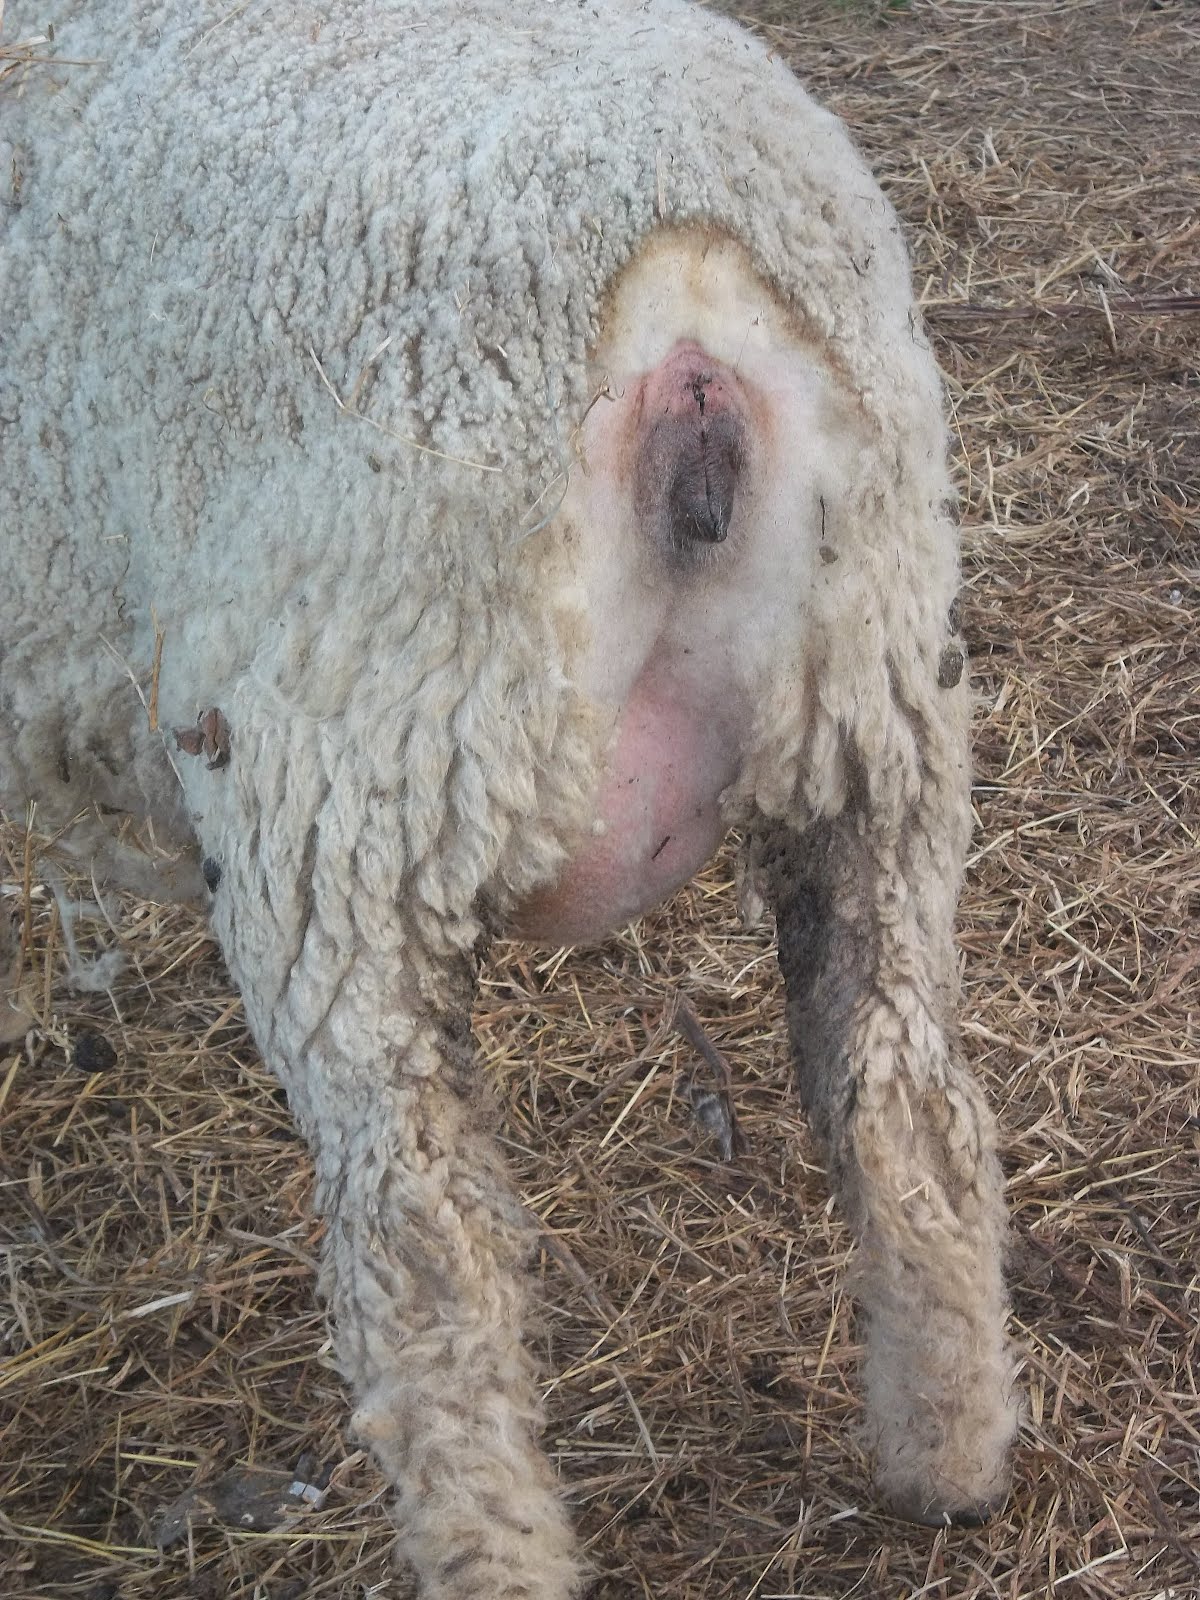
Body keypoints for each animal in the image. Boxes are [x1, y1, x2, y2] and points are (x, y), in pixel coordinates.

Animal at [0, 0, 1019, 1592]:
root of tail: (685, 301)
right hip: (884, 712)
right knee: (905, 1100)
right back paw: (950, 1461)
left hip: (347, 790)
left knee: (429, 1256)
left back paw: (495, 1548)